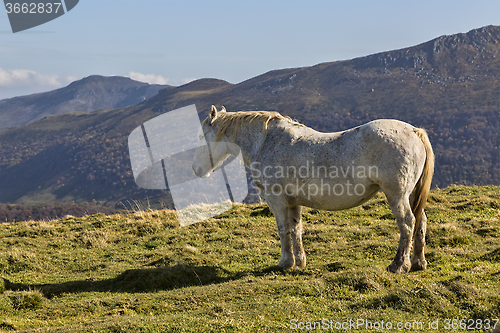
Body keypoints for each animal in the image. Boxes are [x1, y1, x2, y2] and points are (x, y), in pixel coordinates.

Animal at [192, 105, 434, 272]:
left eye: (202, 136)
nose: (196, 169)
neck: (266, 143)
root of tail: (415, 131)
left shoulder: (276, 200)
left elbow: (283, 229)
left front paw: (285, 262)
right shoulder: (293, 202)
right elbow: (295, 229)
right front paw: (299, 262)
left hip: (397, 195)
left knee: (407, 223)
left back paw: (398, 265)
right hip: (411, 194)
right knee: (420, 221)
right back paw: (418, 263)